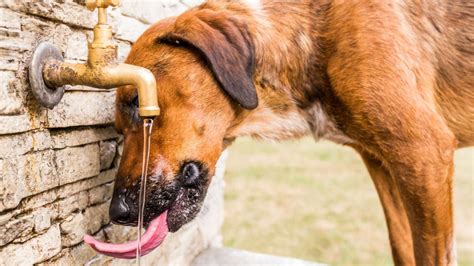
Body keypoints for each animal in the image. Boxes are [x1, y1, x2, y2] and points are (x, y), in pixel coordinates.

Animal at [110, 0, 470, 264]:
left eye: (136, 102)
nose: (118, 212)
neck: (313, 35)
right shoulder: (382, 164)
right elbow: (402, 246)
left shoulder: (423, 153)